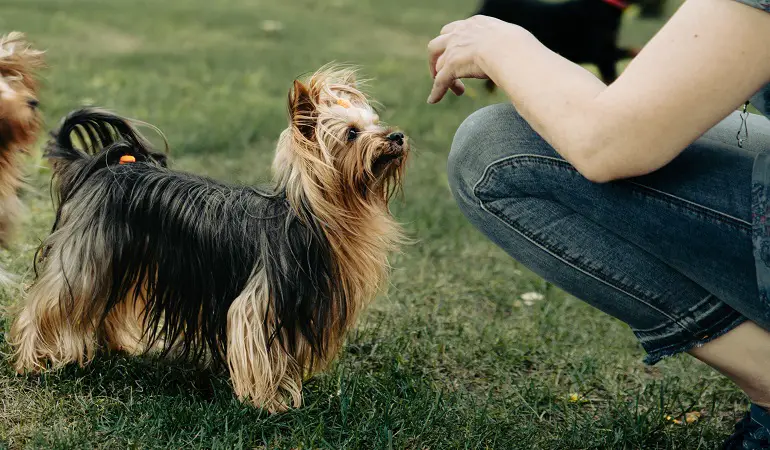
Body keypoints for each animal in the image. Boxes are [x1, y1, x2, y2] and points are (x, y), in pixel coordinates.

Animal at [10, 66, 408, 412]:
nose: (397, 136)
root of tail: (103, 168)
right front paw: (268, 402)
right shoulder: (258, 303)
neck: (312, 216)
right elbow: (257, 349)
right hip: (85, 257)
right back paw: (32, 361)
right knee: (47, 303)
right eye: (352, 133)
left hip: (122, 257)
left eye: (376, 124)